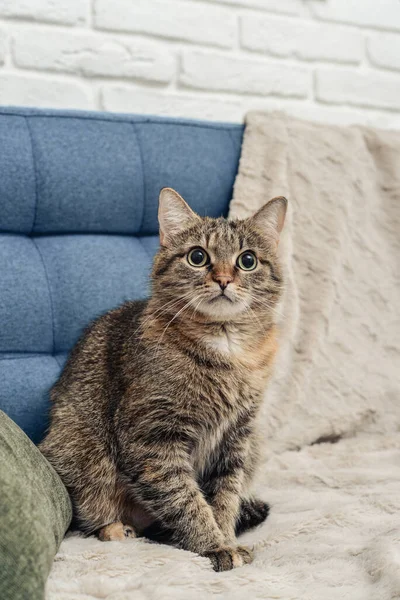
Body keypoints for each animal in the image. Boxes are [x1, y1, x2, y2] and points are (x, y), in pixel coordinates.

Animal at [39, 189, 288, 572]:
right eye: (198, 257)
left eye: (247, 260)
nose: (224, 279)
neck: (226, 348)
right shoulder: (153, 438)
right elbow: (186, 499)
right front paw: (214, 545)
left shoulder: (238, 437)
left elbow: (225, 497)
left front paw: (227, 538)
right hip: (81, 453)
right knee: (93, 513)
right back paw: (117, 528)